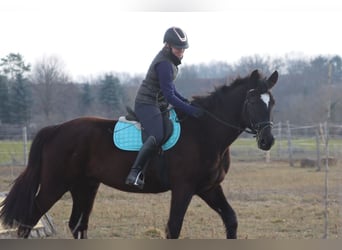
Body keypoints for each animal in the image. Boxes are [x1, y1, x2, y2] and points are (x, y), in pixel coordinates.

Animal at [0, 69, 278, 239]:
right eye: (253, 101)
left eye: (271, 102)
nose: (268, 141)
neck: (204, 132)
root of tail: (56, 129)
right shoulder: (184, 188)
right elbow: (173, 228)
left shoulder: (208, 188)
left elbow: (231, 220)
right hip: (55, 184)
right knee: (29, 219)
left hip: (85, 186)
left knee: (78, 225)